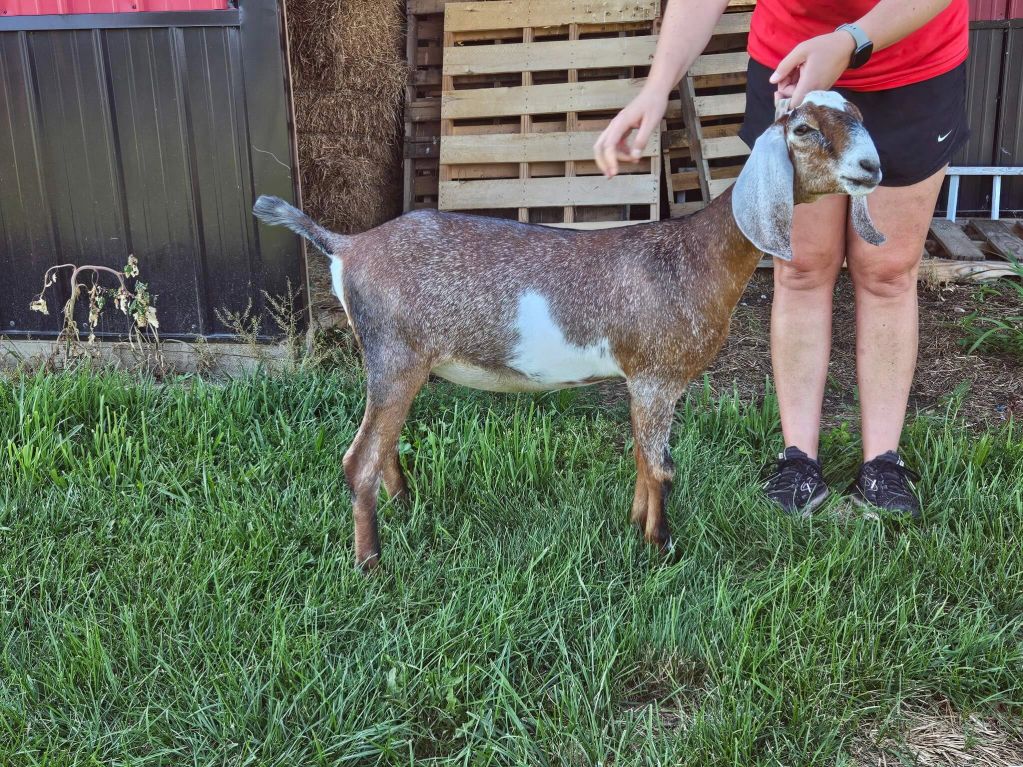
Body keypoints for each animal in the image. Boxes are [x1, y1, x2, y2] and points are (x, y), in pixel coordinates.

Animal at [254, 91, 886, 569]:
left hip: (396, 364)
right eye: (803, 128)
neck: (692, 256)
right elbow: (663, 466)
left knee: (381, 446)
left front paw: (636, 525)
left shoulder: (641, 381)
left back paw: (406, 505)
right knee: (357, 459)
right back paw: (371, 563)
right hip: (395, 354)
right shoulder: (658, 377)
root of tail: (348, 246)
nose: (872, 168)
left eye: (858, 113)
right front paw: (663, 549)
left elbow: (642, 460)